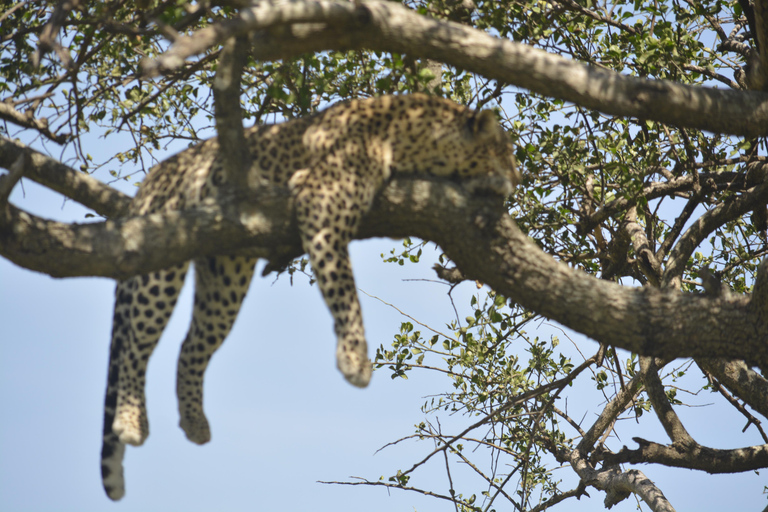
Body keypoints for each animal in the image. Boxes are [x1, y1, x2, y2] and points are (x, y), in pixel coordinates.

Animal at [99, 93, 520, 500]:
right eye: (504, 151)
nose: (516, 179)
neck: (414, 130)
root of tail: (150, 179)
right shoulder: (324, 197)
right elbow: (343, 286)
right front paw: (354, 360)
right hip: (161, 255)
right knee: (135, 345)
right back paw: (132, 422)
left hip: (225, 276)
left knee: (190, 346)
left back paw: (195, 423)